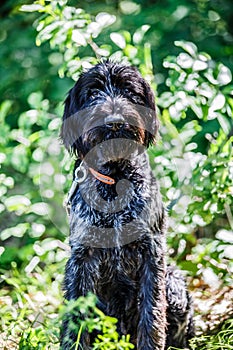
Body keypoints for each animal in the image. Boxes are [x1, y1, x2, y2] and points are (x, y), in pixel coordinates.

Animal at [59, 61, 193, 348]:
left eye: (129, 91)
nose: (114, 121)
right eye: (93, 93)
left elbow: (152, 315)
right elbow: (75, 318)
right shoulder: (81, 259)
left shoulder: (151, 254)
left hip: (174, 285)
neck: (116, 178)